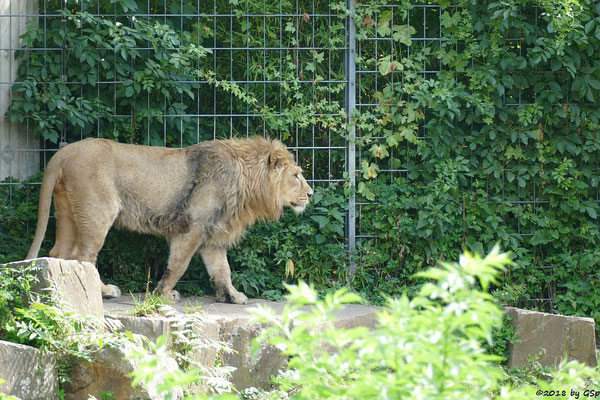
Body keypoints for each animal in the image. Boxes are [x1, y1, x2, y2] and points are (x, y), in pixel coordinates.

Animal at [27, 138, 314, 304]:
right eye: (297, 175)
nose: (311, 194)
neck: (247, 181)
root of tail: (62, 153)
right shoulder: (193, 226)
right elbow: (179, 265)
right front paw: (164, 294)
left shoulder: (212, 236)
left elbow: (222, 269)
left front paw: (232, 296)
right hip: (97, 211)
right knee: (84, 256)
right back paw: (104, 291)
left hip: (67, 212)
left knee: (59, 252)